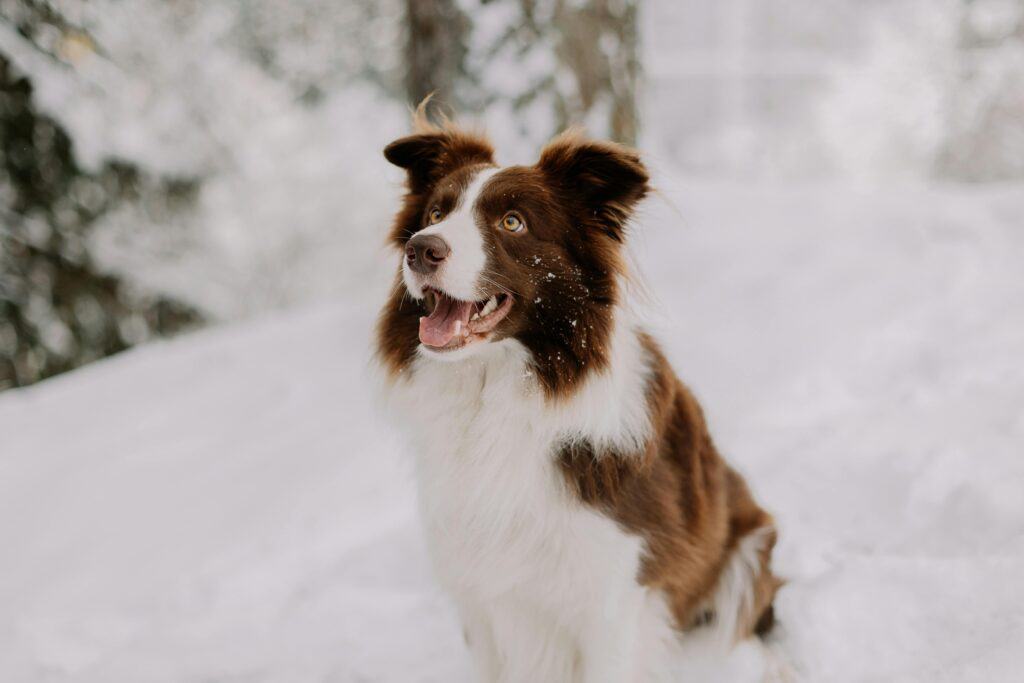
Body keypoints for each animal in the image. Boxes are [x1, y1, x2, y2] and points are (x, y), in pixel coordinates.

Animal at [376, 113, 774, 683]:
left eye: (513, 223)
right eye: (435, 212)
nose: (421, 248)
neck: (494, 395)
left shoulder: (612, 596)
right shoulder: (477, 592)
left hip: (747, 557)